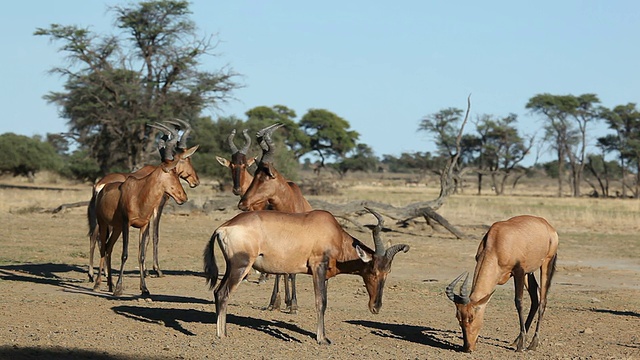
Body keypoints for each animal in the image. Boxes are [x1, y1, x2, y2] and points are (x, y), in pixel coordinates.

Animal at [86, 119, 199, 282]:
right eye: (187, 158)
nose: (196, 181)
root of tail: (99, 184)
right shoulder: (157, 208)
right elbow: (153, 236)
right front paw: (156, 270)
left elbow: (145, 237)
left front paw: (146, 271)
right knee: (100, 239)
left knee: (94, 237)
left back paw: (94, 274)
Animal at [202, 207, 408, 344]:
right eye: (372, 270)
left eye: (387, 272)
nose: (376, 307)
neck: (331, 231)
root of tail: (224, 227)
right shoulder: (318, 267)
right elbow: (320, 302)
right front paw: (322, 340)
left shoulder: (325, 275)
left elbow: (325, 302)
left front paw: (323, 336)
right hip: (241, 266)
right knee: (224, 294)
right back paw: (222, 335)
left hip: (231, 267)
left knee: (218, 292)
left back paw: (223, 331)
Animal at [238, 123, 312, 312]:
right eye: (254, 175)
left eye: (264, 177)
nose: (242, 204)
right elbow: (278, 271)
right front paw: (274, 302)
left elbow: (292, 273)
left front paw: (294, 305)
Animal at [448, 215, 556, 352]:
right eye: (458, 317)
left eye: (472, 317)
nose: (467, 348)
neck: (497, 240)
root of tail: (548, 226)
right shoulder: (522, 271)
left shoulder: (518, 271)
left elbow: (519, 302)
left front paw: (521, 346)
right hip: (529, 272)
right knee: (535, 298)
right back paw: (516, 341)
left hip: (546, 262)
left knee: (542, 300)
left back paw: (532, 344)